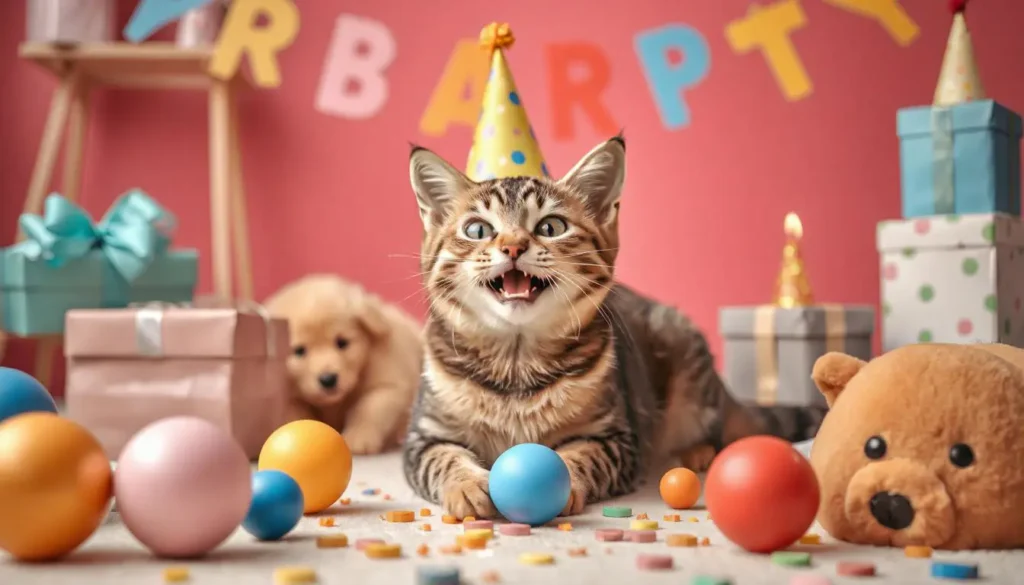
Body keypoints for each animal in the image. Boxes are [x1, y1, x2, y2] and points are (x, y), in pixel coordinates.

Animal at [268, 276, 423, 456]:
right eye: (299, 351)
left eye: (342, 343)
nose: (328, 379)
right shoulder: (289, 398)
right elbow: (297, 415)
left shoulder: (388, 385)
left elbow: (367, 409)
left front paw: (358, 438)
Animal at [399, 136, 823, 516]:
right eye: (477, 230)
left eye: (551, 227)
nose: (513, 246)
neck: (516, 365)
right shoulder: (424, 436)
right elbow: (443, 459)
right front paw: (467, 485)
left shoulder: (616, 437)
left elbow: (583, 455)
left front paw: (562, 480)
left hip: (688, 364)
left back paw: (695, 450)